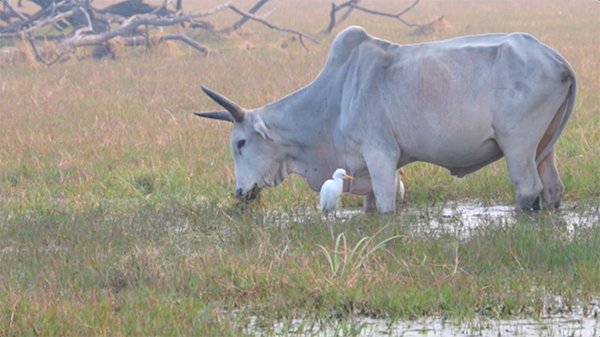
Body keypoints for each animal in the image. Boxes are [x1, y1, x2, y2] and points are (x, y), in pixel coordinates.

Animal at [196, 25, 576, 213]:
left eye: (241, 142)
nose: (240, 192)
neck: (335, 98)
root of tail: (557, 60)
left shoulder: (381, 155)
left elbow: (385, 206)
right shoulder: (363, 167)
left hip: (517, 147)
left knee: (528, 190)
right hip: (543, 148)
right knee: (552, 188)